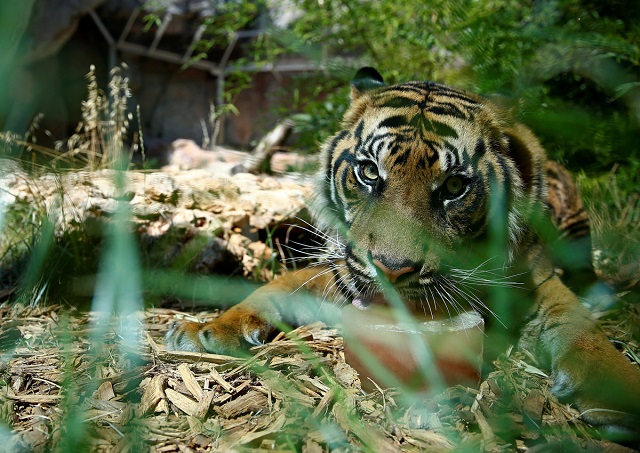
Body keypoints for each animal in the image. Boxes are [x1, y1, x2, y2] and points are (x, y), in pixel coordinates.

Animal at [166, 67, 640, 434]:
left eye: (454, 186)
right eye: (369, 172)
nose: (392, 271)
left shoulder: (535, 281)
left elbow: (579, 327)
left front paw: (618, 390)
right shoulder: (341, 271)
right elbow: (277, 286)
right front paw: (207, 329)